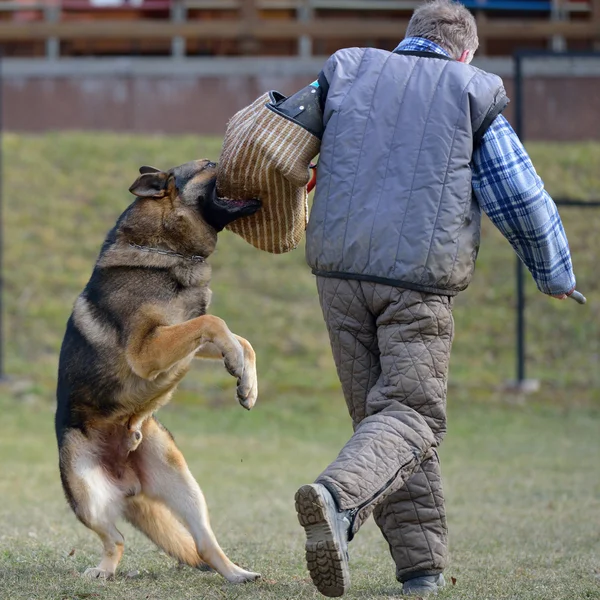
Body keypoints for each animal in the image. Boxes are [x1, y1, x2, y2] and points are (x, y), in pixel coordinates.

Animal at [55, 162, 260, 584]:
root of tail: (126, 481)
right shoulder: (148, 349)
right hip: (85, 494)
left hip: (183, 485)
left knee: (204, 543)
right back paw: (101, 572)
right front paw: (240, 370)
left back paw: (236, 573)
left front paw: (247, 384)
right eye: (209, 164)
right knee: (116, 540)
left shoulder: (183, 340)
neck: (163, 251)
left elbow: (238, 338)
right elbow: (216, 322)